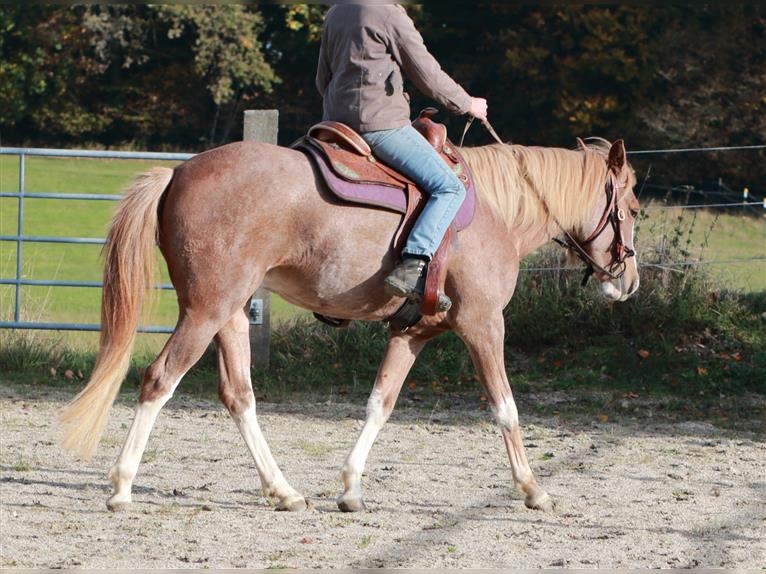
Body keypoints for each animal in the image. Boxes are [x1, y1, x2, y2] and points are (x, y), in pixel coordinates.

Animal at [59, 135, 640, 513]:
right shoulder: (483, 325)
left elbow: (380, 404)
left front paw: (351, 488)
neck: (496, 209)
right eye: (633, 207)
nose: (628, 281)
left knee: (239, 396)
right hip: (203, 313)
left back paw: (284, 491)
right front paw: (532, 488)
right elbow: (505, 408)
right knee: (160, 381)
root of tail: (178, 172)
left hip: (228, 315)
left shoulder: (412, 333)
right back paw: (121, 486)